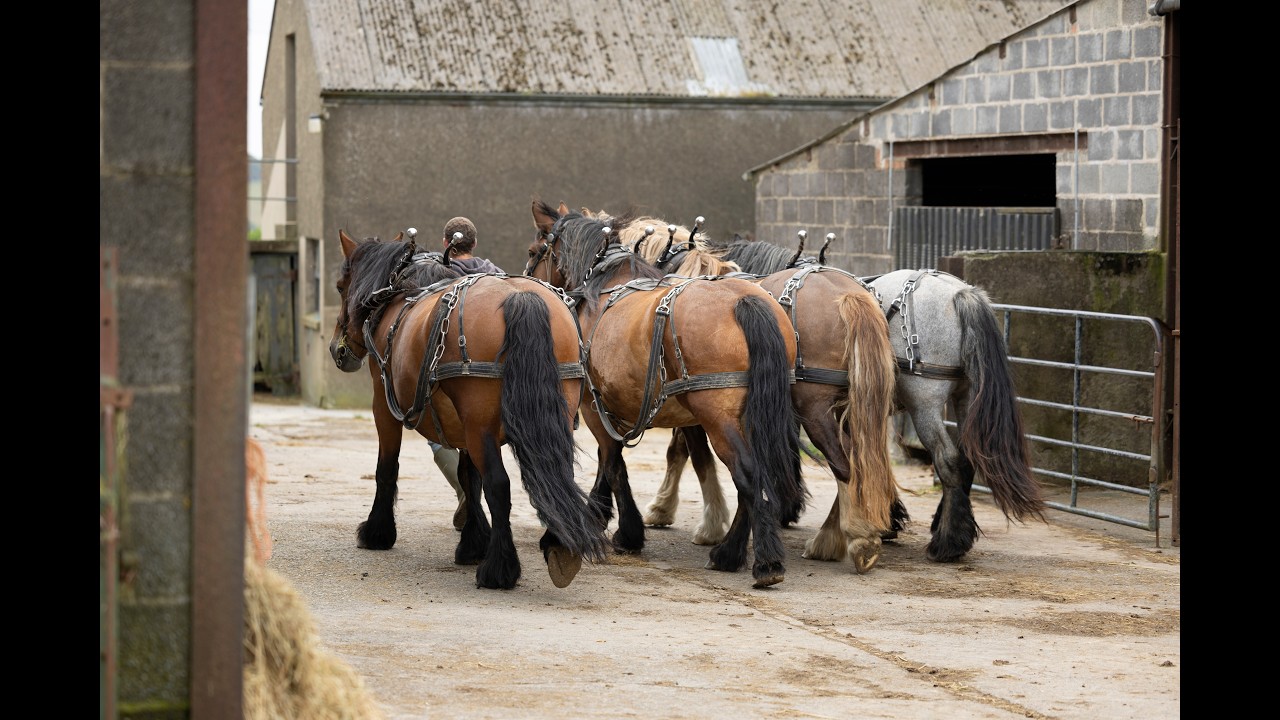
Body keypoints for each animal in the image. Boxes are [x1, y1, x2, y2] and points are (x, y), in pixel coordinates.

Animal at [328, 228, 608, 589]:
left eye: (340, 286)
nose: (338, 349)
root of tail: (520, 298)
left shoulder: (383, 403)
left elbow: (387, 468)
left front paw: (378, 531)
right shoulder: (462, 423)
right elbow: (468, 476)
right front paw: (473, 541)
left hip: (480, 424)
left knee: (499, 486)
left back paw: (499, 569)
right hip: (544, 411)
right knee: (556, 470)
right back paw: (560, 547)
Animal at [527, 201, 802, 588]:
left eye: (533, 251)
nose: (529, 278)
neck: (606, 283)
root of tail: (746, 300)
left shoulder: (594, 406)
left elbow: (612, 463)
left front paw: (626, 531)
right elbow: (612, 462)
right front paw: (602, 514)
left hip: (717, 418)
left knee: (748, 474)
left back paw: (763, 562)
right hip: (754, 414)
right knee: (757, 475)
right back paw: (731, 552)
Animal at [609, 216, 901, 572]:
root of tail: (849, 294)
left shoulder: (698, 404)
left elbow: (690, 454)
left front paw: (691, 518)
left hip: (813, 408)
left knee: (843, 462)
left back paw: (847, 537)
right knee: (859, 460)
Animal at [718, 236, 1048, 562]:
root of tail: (960, 293)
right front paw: (887, 519)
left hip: (923, 403)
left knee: (949, 460)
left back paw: (947, 543)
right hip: (966, 395)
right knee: (966, 460)